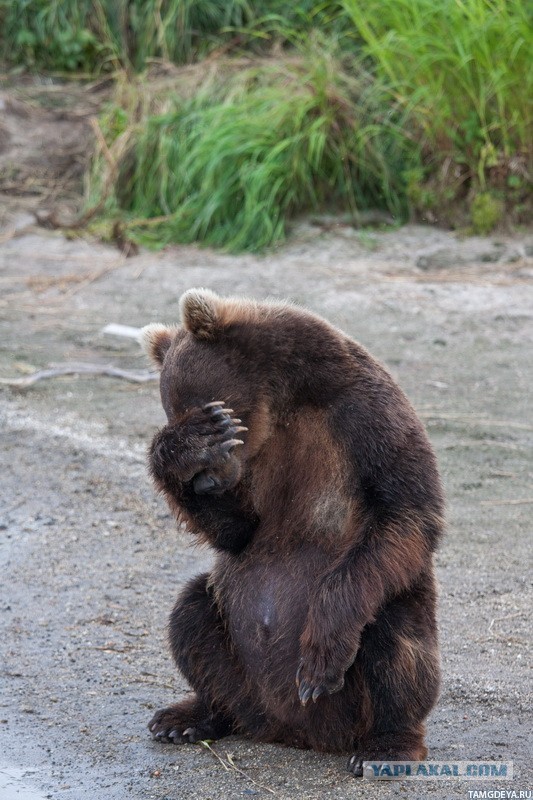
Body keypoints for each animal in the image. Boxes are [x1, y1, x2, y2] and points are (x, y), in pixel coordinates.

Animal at [139, 288, 442, 776]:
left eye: (213, 407)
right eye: (177, 414)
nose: (207, 482)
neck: (284, 403)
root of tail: (295, 731)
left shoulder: (363, 417)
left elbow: (406, 511)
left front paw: (320, 661)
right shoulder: (256, 477)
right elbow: (236, 532)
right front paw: (182, 450)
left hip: (364, 680)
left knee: (396, 639)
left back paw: (386, 746)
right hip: (240, 665)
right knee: (192, 612)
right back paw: (188, 717)